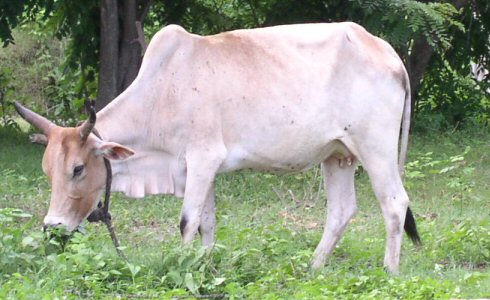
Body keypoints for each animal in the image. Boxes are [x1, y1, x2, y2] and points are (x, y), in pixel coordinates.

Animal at [16, 22, 422, 274]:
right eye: (48, 170)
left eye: (78, 168)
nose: (52, 227)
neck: (162, 92)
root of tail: (389, 53)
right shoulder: (198, 169)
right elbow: (206, 223)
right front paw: (204, 264)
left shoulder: (202, 158)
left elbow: (186, 221)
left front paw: (180, 264)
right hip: (337, 154)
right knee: (341, 210)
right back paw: (313, 267)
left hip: (375, 149)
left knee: (394, 204)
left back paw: (389, 270)